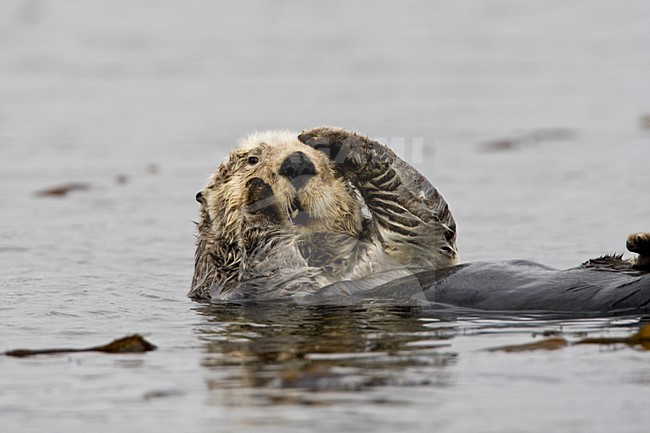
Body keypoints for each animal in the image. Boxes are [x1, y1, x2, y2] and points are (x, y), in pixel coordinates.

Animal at [190, 127, 458, 301]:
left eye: (325, 162)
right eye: (252, 159)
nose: (297, 162)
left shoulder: (412, 254)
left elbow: (417, 215)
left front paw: (328, 138)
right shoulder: (261, 289)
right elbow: (276, 266)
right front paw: (256, 194)